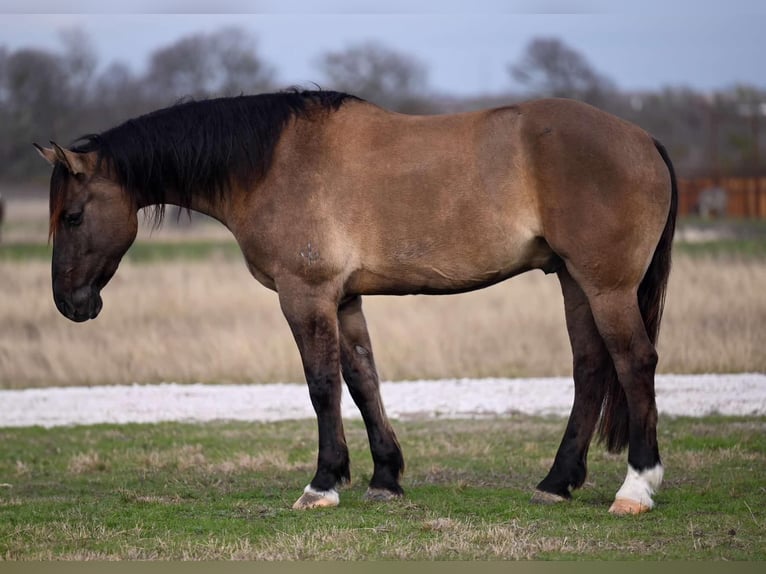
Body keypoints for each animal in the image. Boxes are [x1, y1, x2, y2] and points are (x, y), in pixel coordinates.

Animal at [34, 91, 680, 516]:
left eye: (73, 216)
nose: (70, 303)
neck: (272, 163)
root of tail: (644, 140)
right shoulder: (344, 300)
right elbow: (363, 380)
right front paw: (385, 476)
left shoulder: (306, 294)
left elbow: (322, 384)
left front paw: (322, 483)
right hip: (573, 281)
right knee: (590, 368)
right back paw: (557, 480)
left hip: (605, 286)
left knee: (634, 363)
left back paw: (636, 487)